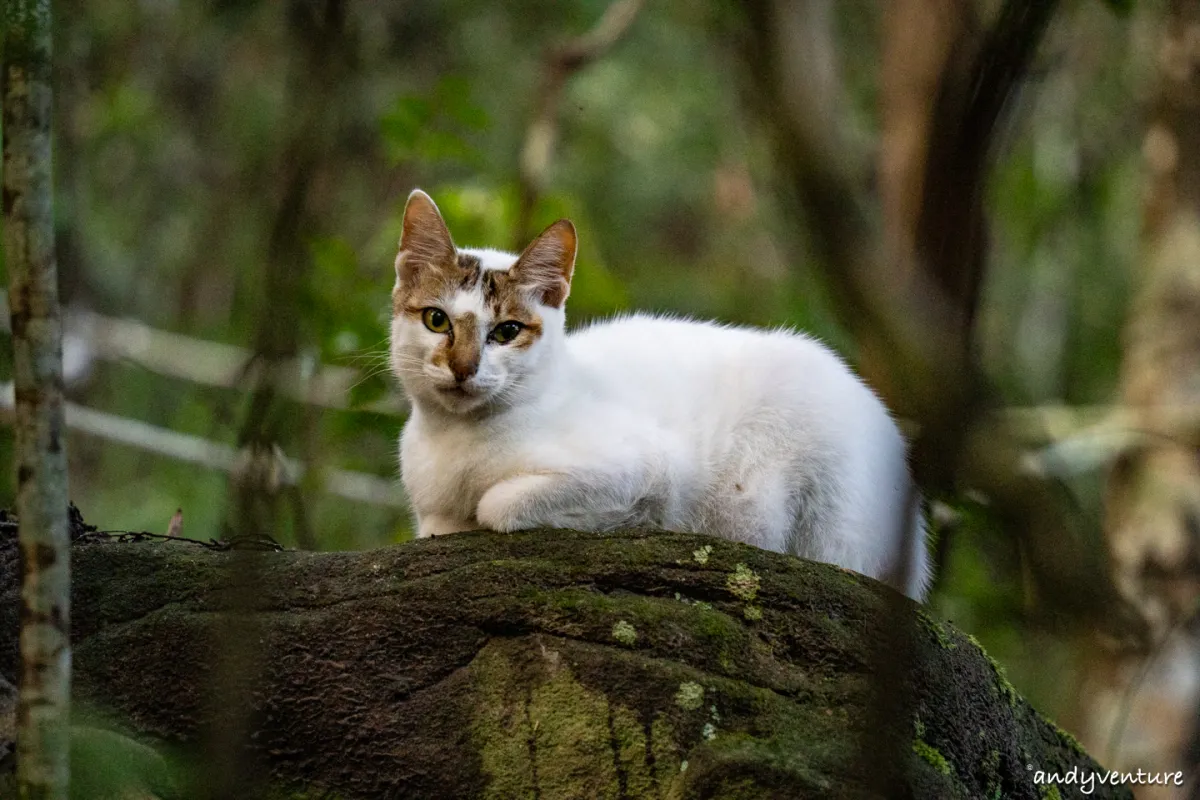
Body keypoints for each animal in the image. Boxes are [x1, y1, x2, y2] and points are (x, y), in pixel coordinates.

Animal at [388, 189, 931, 599]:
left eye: (506, 332)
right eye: (436, 320)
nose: (464, 367)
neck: (455, 439)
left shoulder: (647, 469)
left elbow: (496, 506)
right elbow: (438, 523)